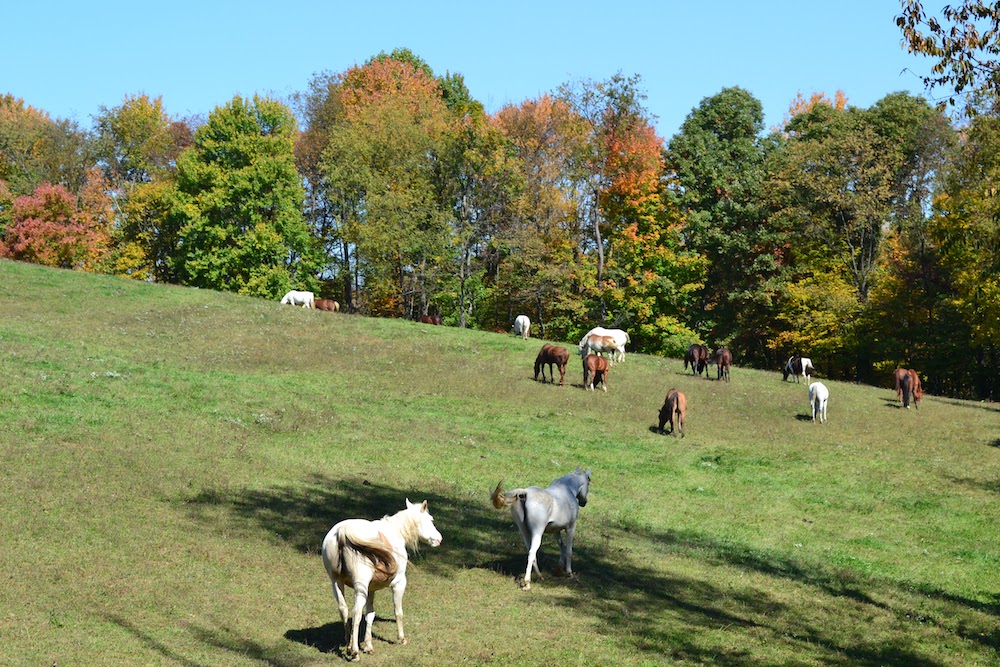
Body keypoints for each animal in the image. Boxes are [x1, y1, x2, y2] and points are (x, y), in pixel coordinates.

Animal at [322, 498, 444, 660]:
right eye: (431, 520)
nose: (439, 539)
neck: (395, 532)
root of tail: (342, 531)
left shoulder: (371, 589)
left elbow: (370, 615)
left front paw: (368, 646)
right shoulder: (399, 584)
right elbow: (398, 612)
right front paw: (401, 638)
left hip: (336, 582)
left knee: (344, 610)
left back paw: (348, 647)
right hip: (359, 586)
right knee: (356, 612)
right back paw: (354, 652)